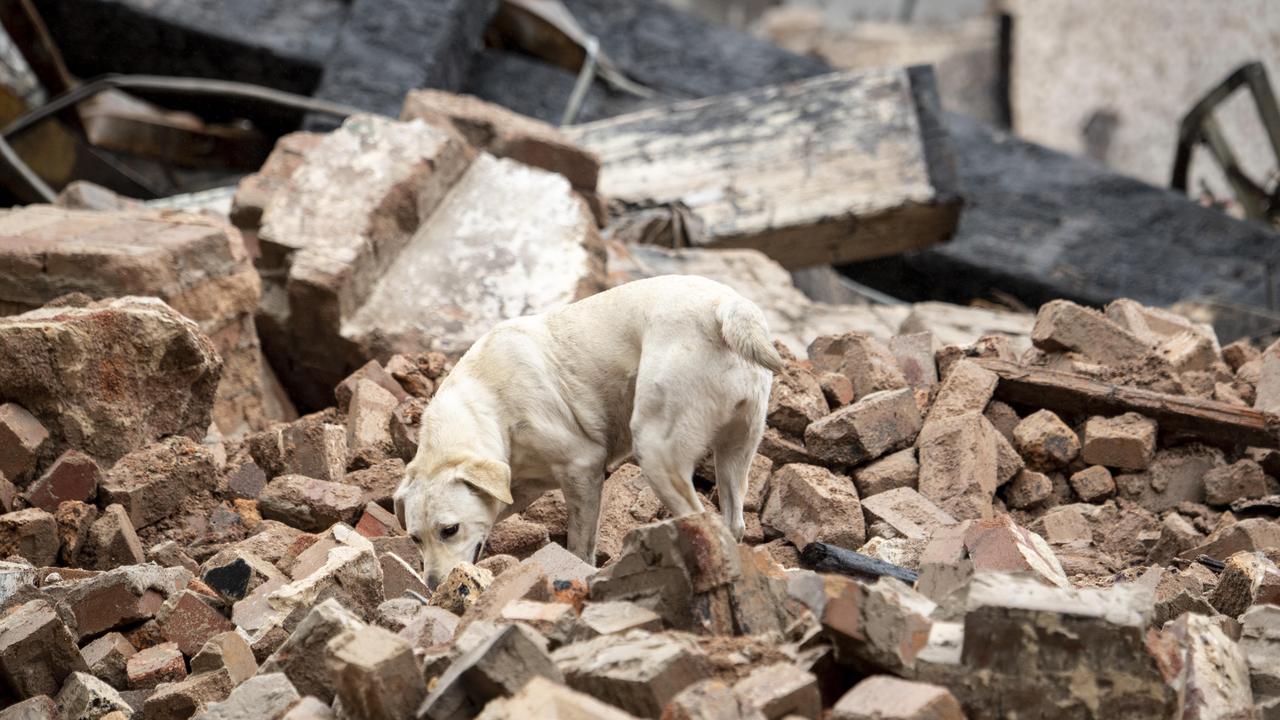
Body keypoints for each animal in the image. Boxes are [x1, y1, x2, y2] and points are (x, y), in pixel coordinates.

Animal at [394, 271, 783, 586]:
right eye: (414, 538)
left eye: (449, 530)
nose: (433, 585)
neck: (487, 398)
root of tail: (725, 308)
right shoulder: (519, 483)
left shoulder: (582, 469)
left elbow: (580, 546)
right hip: (738, 448)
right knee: (733, 522)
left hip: (657, 452)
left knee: (702, 520)